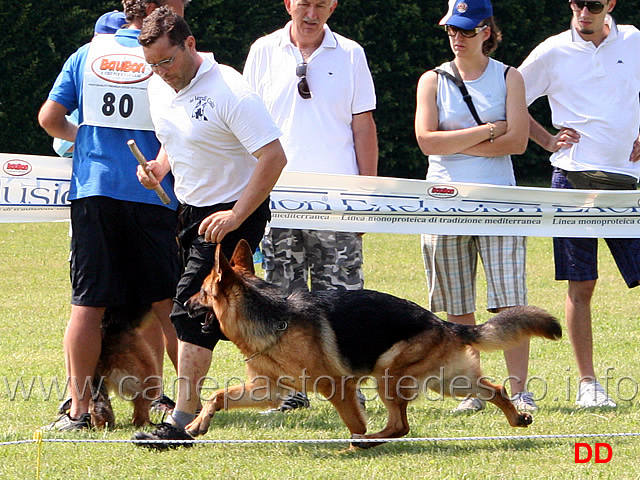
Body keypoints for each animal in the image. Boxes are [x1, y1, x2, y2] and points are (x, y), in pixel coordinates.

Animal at [185, 242, 560, 448]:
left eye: (200, 292)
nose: (182, 303)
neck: (275, 319)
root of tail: (442, 323)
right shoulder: (268, 389)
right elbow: (219, 396)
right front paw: (197, 424)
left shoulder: (338, 387)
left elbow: (355, 422)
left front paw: (354, 442)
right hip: (447, 381)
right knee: (494, 388)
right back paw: (517, 418)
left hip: (388, 375)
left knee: (400, 426)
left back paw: (365, 443)